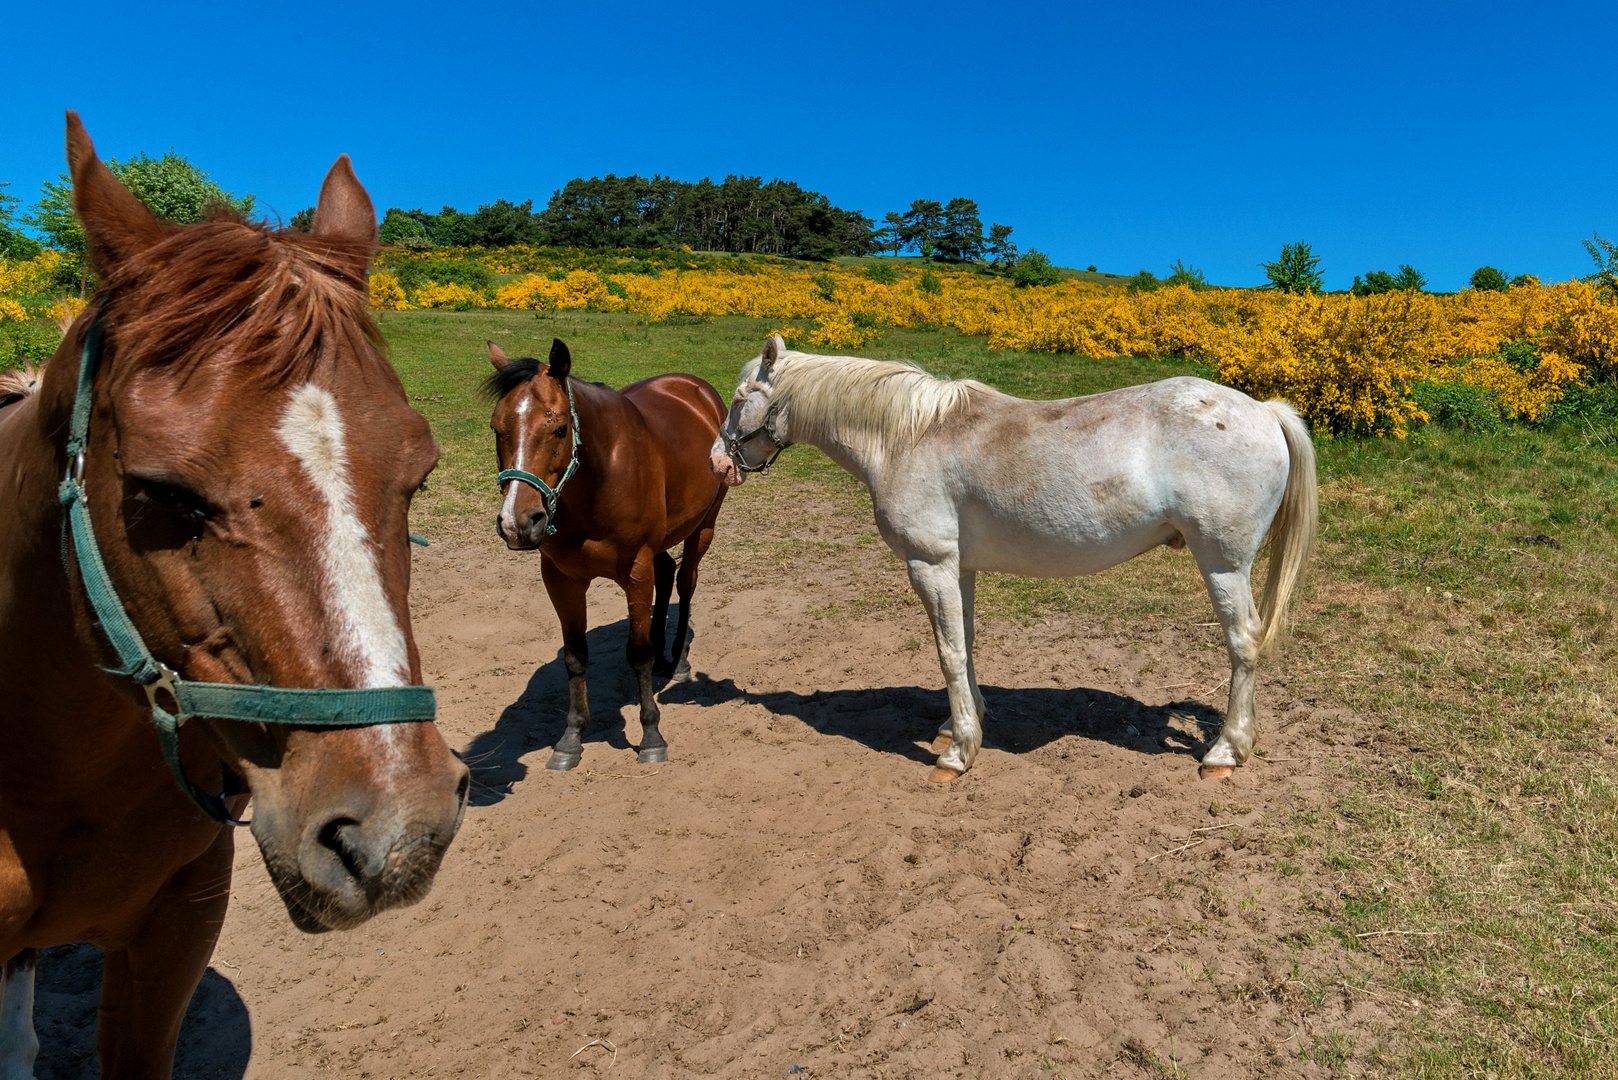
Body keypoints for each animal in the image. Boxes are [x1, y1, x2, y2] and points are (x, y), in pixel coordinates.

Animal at [478, 341, 728, 773]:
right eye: (497, 428)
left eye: (560, 427)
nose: (518, 523)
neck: (600, 478)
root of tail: (698, 389)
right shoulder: (561, 579)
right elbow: (576, 657)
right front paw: (571, 738)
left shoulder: (637, 569)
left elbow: (638, 653)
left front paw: (651, 736)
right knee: (667, 573)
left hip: (704, 526)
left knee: (685, 582)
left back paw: (678, 661)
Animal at [711, 333, 1313, 780]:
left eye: (740, 396)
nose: (718, 461)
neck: (908, 438)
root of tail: (1263, 411)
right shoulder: (959, 568)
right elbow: (966, 641)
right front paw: (965, 720)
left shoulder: (928, 564)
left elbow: (948, 652)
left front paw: (958, 753)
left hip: (1223, 566)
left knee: (1244, 643)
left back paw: (1226, 751)